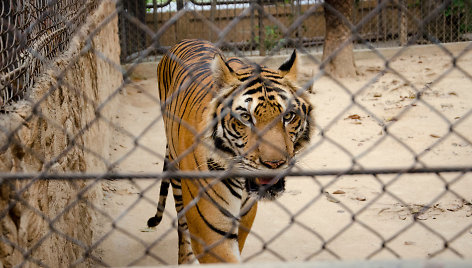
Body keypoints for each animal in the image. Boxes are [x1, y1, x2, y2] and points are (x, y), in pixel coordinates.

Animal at [148, 39, 314, 264]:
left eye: (288, 116)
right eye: (245, 118)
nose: (274, 164)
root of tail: (185, 40)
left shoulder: (246, 215)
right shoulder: (211, 230)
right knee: (182, 222)